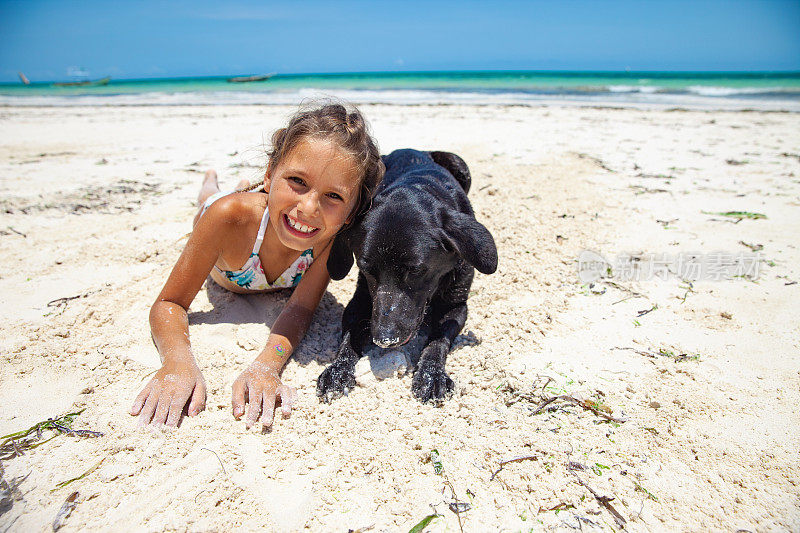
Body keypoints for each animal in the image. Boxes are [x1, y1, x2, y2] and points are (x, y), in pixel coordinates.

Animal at [316, 148, 496, 402]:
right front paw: (338, 370)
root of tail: (411, 149)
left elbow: (439, 339)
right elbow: (349, 335)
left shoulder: (457, 306)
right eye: (366, 269)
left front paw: (432, 374)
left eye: (416, 270)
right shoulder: (360, 301)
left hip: (461, 165)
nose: (384, 339)